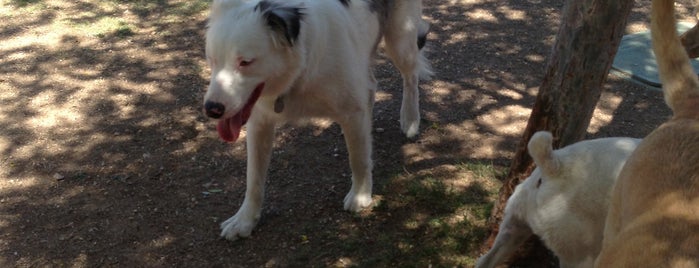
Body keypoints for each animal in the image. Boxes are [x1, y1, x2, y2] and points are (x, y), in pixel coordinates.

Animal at [201, 0, 432, 239]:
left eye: (245, 62)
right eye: (212, 59)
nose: (212, 109)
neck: (300, 67)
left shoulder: (352, 110)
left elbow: (358, 159)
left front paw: (360, 196)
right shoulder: (259, 122)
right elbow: (253, 179)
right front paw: (244, 220)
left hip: (400, 39)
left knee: (410, 76)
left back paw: (410, 119)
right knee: (371, 85)